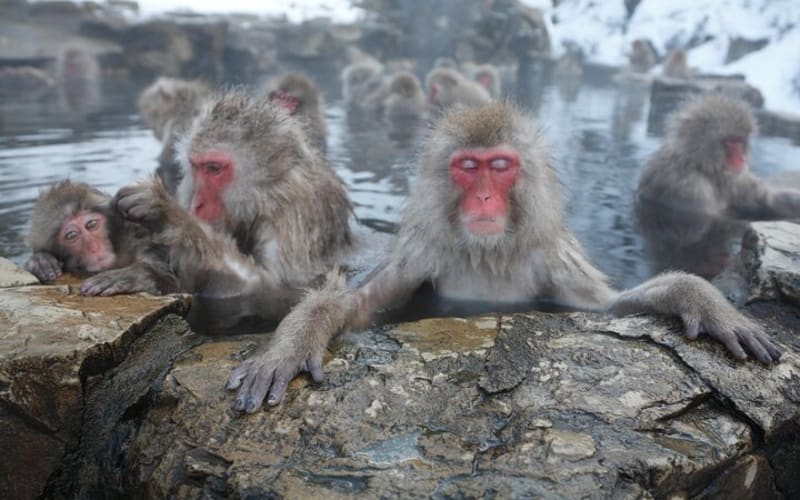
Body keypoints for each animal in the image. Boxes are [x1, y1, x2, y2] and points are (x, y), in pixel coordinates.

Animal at [23, 180, 177, 296]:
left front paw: (132, 277)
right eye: (71, 235)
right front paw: (40, 261)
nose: (94, 247)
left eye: (91, 224)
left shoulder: (143, 243)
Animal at [114, 91, 353, 319]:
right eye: (196, 167)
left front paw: (166, 213)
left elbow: (269, 287)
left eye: (214, 169)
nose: (196, 204)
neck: (263, 196)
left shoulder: (294, 215)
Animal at [226, 101, 781, 413]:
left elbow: (607, 307)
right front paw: (290, 344)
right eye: (468, 167)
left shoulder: (553, 259)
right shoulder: (423, 252)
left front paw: (700, 299)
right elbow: (356, 305)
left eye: (500, 166)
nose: (485, 198)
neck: (488, 253)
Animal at [637, 94, 800, 223]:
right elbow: (708, 218)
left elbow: (765, 198)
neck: (702, 167)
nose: (741, 159)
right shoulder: (689, 187)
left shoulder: (736, 179)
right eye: (729, 142)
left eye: (739, 141)